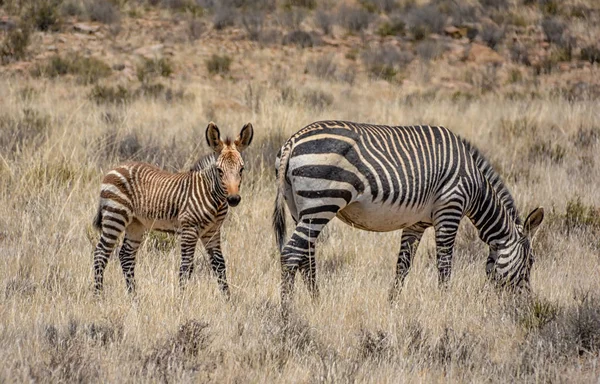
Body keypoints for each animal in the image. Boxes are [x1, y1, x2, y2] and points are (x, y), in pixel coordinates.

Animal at [93, 122, 253, 294]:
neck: (213, 197)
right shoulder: (189, 228)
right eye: (219, 170)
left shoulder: (212, 231)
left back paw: (134, 296)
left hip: (135, 223)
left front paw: (227, 298)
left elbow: (219, 264)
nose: (234, 199)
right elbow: (186, 266)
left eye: (241, 169)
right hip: (115, 216)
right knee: (100, 253)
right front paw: (182, 297)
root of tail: (116, 167)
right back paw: (98, 295)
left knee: (126, 256)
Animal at [274, 120, 548, 306]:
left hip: (299, 208)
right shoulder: (450, 209)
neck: (476, 186)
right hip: (322, 202)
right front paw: (444, 304)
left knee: (306, 256)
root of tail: (293, 141)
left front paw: (392, 303)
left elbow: (402, 266)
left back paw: (316, 303)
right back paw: (287, 312)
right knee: (291, 254)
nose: (528, 305)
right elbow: (444, 263)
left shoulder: (416, 223)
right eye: (531, 262)